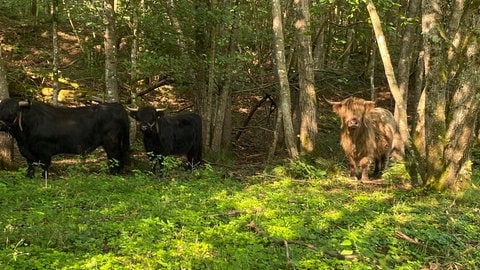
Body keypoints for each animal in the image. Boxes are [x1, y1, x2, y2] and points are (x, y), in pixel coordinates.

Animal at [0, 98, 129, 178]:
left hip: (112, 142)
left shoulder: (44, 151)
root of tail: (117, 106)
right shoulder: (27, 152)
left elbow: (44, 167)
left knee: (115, 156)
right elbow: (30, 166)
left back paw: (113, 174)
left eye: (11, 113)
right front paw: (29, 177)